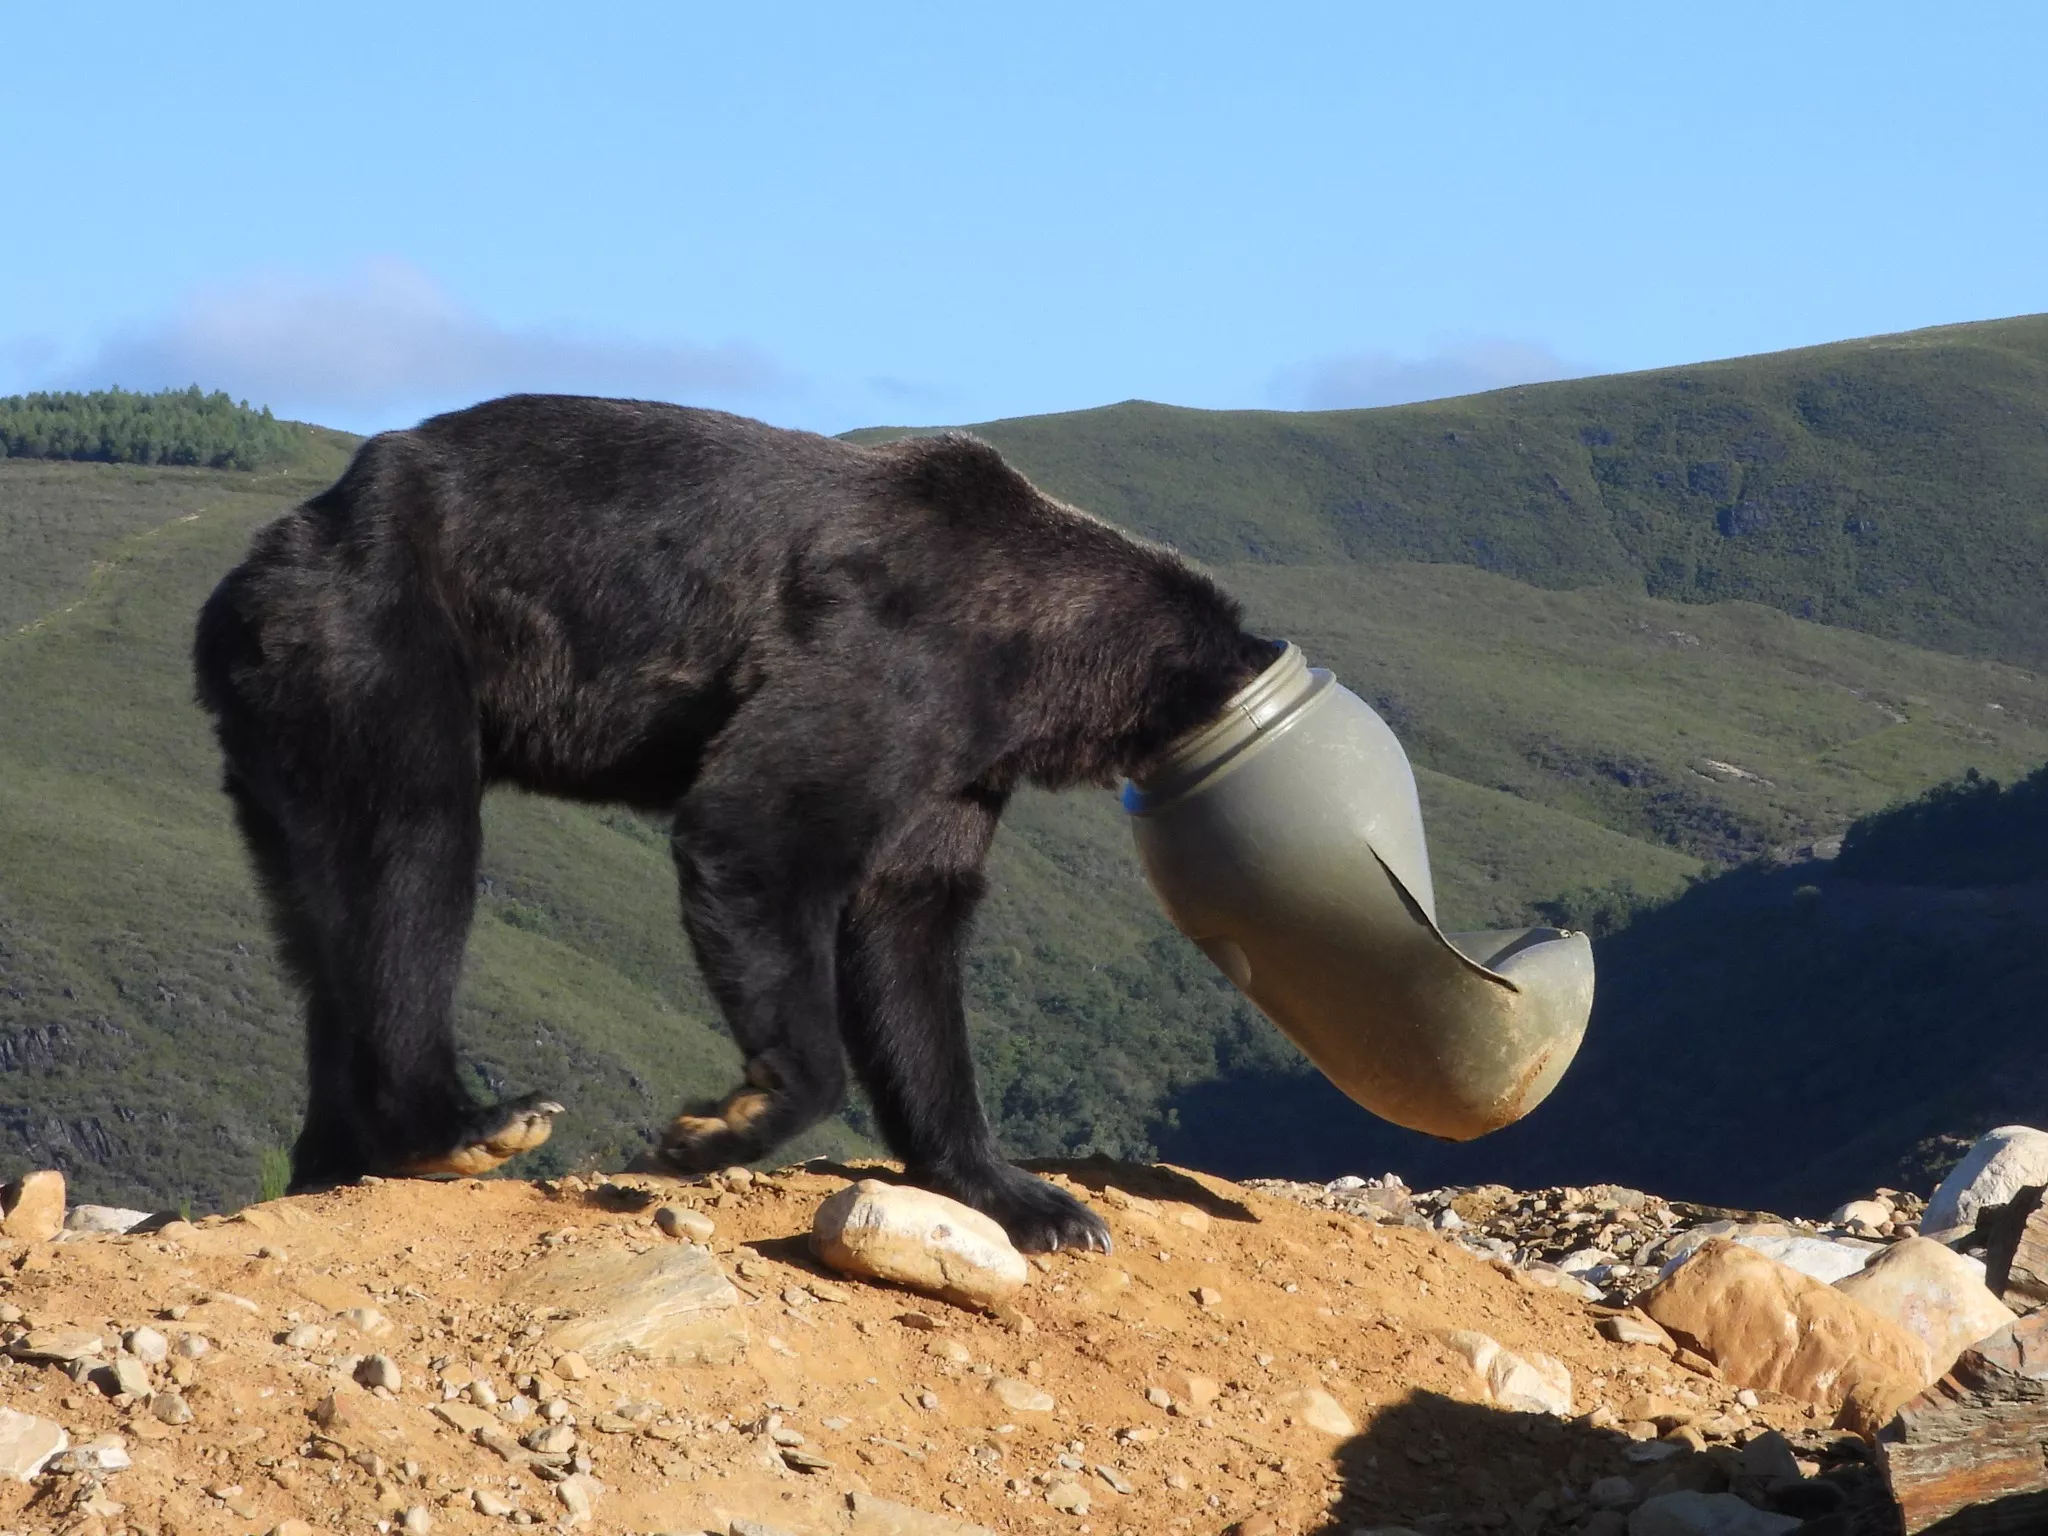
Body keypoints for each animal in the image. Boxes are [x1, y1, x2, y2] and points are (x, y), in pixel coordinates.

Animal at [193, 394, 1274, 1251]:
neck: (1036, 657)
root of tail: (266, 557)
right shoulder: (897, 665)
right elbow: (758, 829)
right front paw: (722, 1121)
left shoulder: (955, 772)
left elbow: (909, 936)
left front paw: (1034, 1201)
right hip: (381, 642)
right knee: (412, 857)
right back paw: (464, 1123)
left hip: (283, 728)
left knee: (326, 917)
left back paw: (335, 1157)